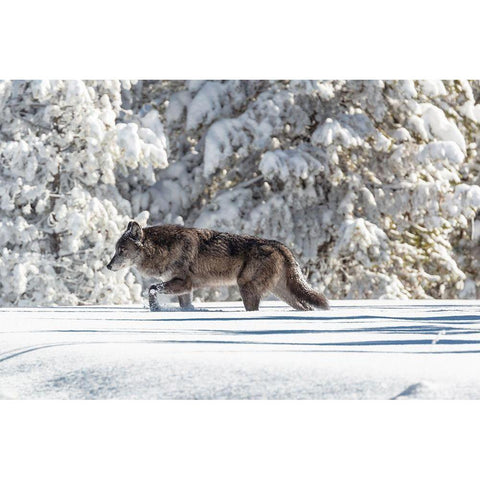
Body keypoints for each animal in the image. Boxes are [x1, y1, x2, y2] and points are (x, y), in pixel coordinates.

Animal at [106, 221, 330, 312]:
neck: (164, 249)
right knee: (306, 307)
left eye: (121, 250)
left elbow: (152, 289)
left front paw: (155, 309)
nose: (108, 266)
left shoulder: (183, 283)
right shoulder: (185, 289)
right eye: (115, 250)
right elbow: (184, 306)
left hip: (247, 289)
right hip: (284, 294)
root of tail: (280, 245)